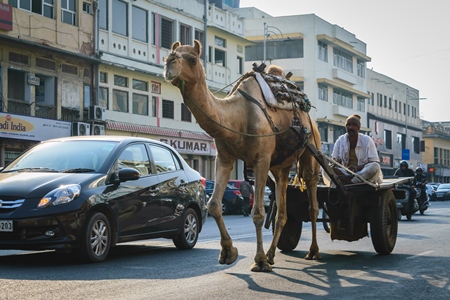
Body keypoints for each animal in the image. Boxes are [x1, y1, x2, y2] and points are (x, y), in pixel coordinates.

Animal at [163, 39, 322, 272]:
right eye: (169, 54)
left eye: (192, 58)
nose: (169, 63)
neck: (237, 117)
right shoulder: (224, 158)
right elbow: (214, 205)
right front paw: (228, 253)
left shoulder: (261, 160)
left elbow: (257, 213)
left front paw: (259, 261)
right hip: (281, 167)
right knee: (282, 211)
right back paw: (272, 255)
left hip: (311, 149)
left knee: (312, 202)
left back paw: (312, 251)